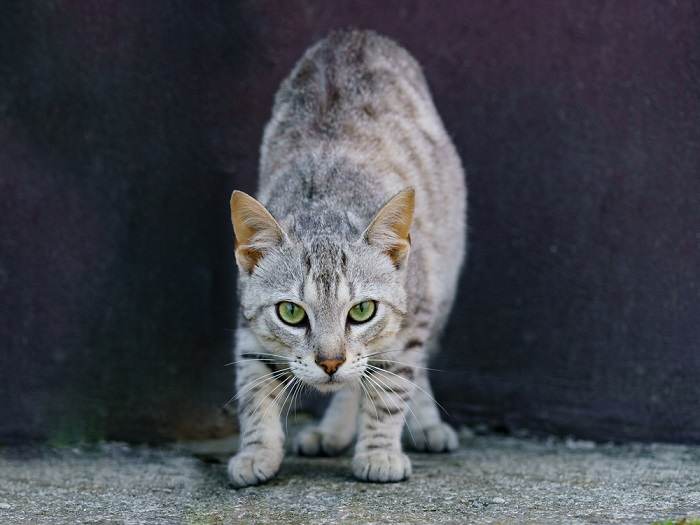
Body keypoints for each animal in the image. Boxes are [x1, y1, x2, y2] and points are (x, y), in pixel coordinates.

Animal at [230, 30, 468, 486]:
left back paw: (426, 425)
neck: (326, 201)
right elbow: (254, 389)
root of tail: (356, 35)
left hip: (442, 279)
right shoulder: (248, 319)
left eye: (361, 311)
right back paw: (332, 430)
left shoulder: (412, 315)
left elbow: (391, 388)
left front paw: (379, 453)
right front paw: (256, 452)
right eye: (291, 312)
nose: (330, 362)